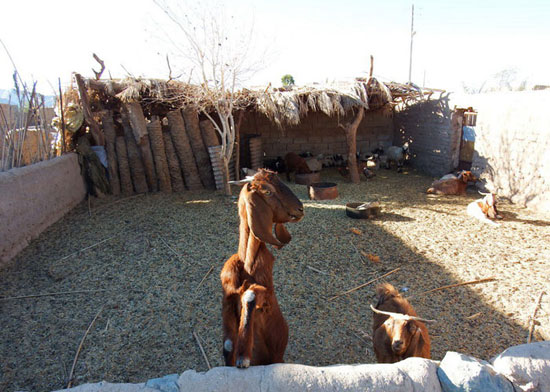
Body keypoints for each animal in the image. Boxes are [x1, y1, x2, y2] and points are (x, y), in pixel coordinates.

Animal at [221, 169, 306, 368]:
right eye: (268, 191)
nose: (300, 208)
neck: (248, 267)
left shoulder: (266, 296)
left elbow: (250, 295)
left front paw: (243, 357)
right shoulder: (228, 294)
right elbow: (227, 344)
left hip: (277, 357)